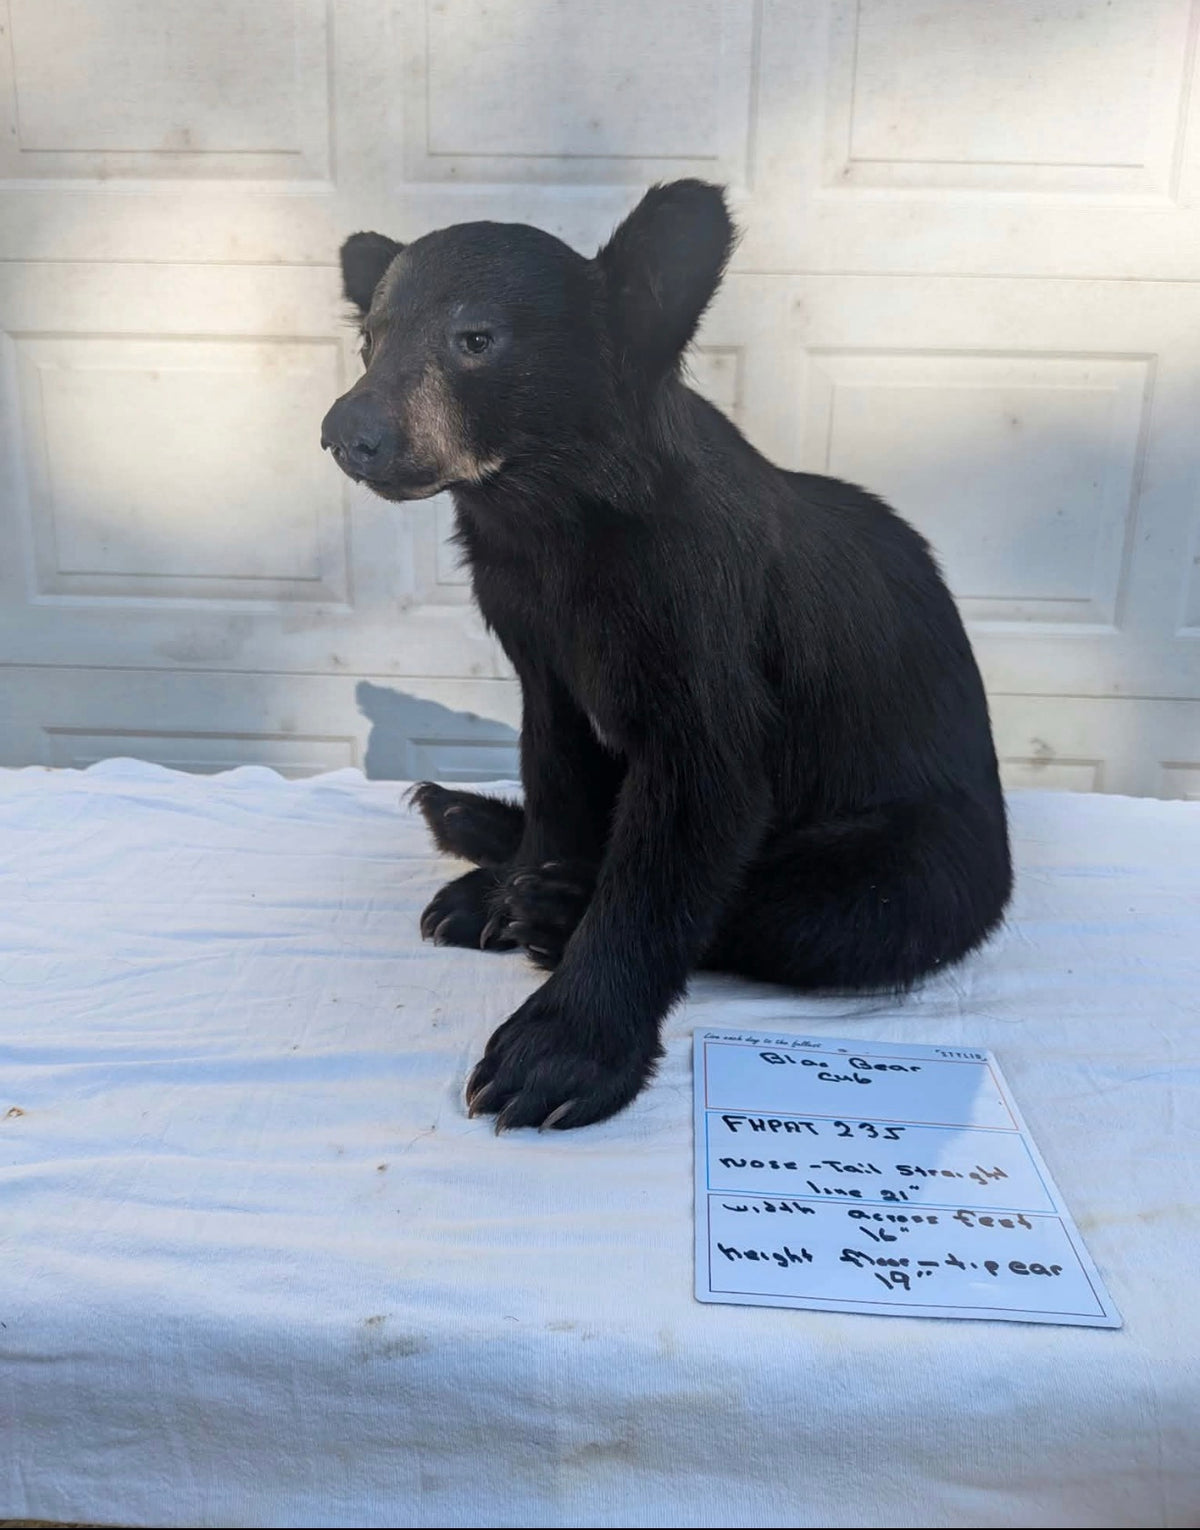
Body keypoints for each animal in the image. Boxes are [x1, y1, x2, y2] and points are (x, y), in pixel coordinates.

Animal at [320, 180, 1012, 1132]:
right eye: (369, 342)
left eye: (476, 338)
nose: (346, 432)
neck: (555, 530)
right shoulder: (537, 638)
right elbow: (556, 763)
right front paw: (509, 881)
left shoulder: (702, 625)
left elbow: (688, 822)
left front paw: (557, 1053)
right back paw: (472, 832)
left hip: (929, 844)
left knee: (848, 907)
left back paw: (550, 905)